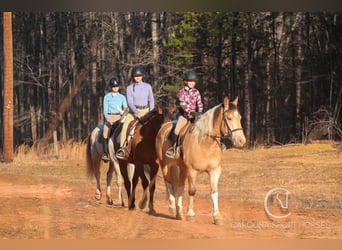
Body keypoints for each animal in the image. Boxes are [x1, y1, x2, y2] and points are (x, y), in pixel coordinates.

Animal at [155, 96, 246, 225]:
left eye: (240, 118)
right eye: (229, 118)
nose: (241, 141)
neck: (206, 143)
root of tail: (164, 127)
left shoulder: (214, 170)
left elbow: (214, 192)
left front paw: (217, 216)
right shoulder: (192, 171)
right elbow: (192, 191)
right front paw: (191, 214)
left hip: (182, 168)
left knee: (180, 186)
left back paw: (179, 212)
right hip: (165, 165)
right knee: (168, 183)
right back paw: (172, 207)